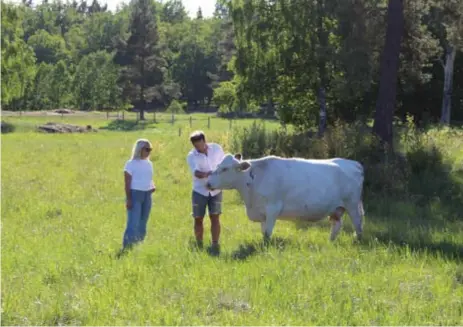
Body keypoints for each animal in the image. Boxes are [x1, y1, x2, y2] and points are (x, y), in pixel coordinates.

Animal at [207, 154, 366, 241]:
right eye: (218, 165)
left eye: (225, 169)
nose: (208, 183)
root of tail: (353, 163)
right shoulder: (261, 212)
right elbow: (263, 231)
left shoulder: (273, 208)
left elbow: (267, 233)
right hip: (337, 208)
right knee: (337, 224)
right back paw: (330, 241)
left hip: (352, 204)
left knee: (358, 224)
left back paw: (357, 240)